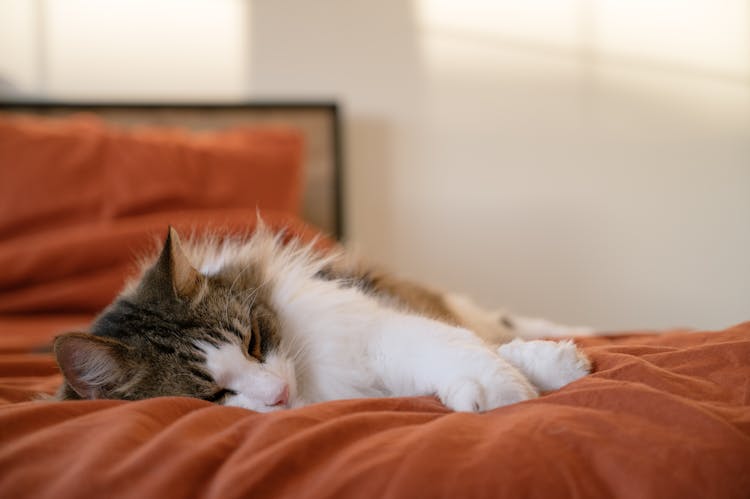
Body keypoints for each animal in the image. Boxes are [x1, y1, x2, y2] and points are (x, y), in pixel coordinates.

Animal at [51, 227, 592, 414]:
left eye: (253, 342)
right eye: (213, 394)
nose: (278, 394)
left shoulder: (375, 328)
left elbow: (461, 347)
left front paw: (541, 373)